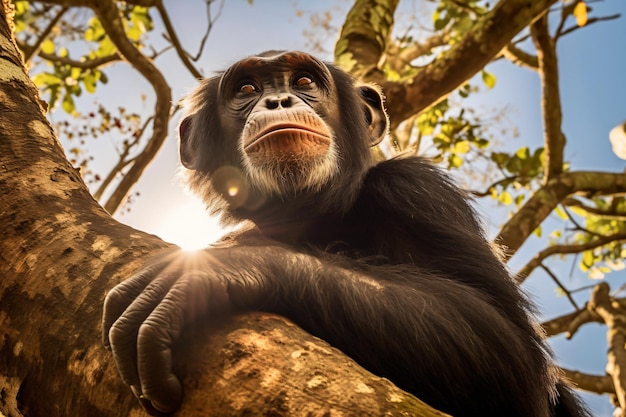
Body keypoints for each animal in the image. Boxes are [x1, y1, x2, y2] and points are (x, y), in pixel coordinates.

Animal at [102, 51, 588, 416]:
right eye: (247, 90)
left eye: (303, 80)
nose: (278, 100)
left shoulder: (416, 191)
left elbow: (511, 353)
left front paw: (229, 265)